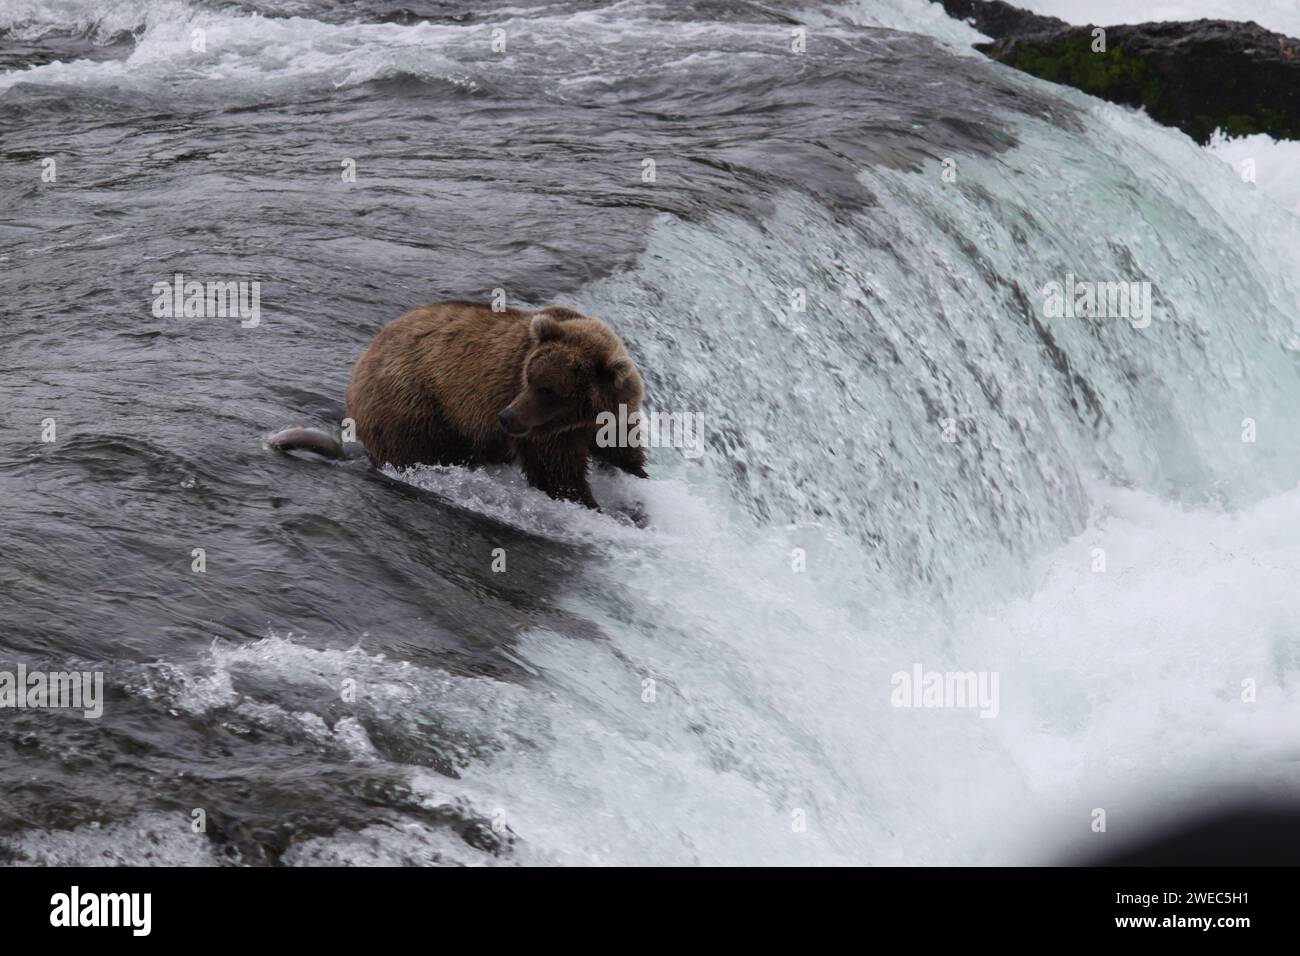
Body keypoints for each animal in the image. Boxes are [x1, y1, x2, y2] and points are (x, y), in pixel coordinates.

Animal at [340, 300, 644, 509]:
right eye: (529, 379)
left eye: (551, 391)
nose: (508, 417)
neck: (581, 417)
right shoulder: (545, 431)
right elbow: (558, 473)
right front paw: (590, 504)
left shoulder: (613, 417)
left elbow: (623, 452)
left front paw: (638, 475)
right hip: (415, 405)